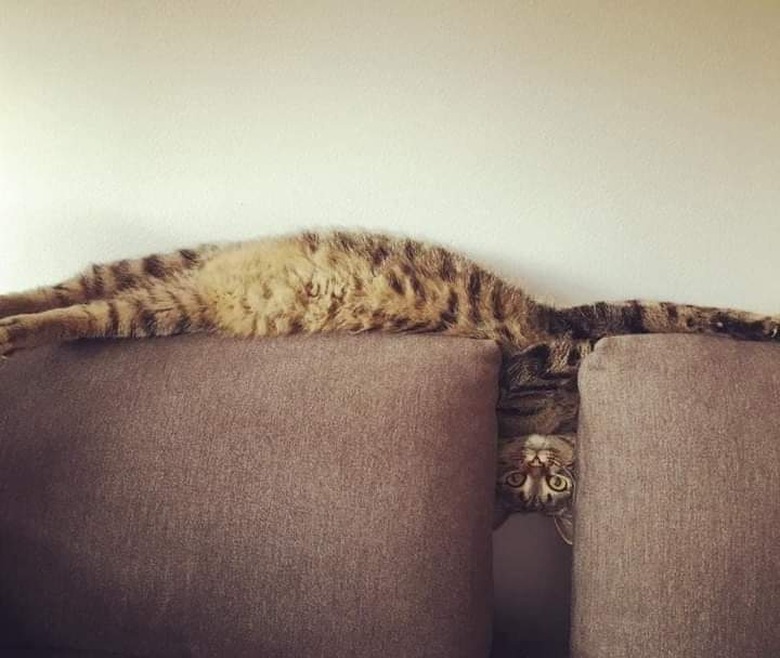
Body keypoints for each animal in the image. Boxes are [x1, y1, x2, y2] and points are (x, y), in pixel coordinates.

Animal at [1, 228, 780, 540]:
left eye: (552, 487)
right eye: (530, 481)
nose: (536, 465)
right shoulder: (566, 333)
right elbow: (677, 311)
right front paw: (764, 322)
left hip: (156, 298)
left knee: (70, 295)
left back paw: (4, 310)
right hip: (163, 273)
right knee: (67, 298)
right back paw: (10, 324)